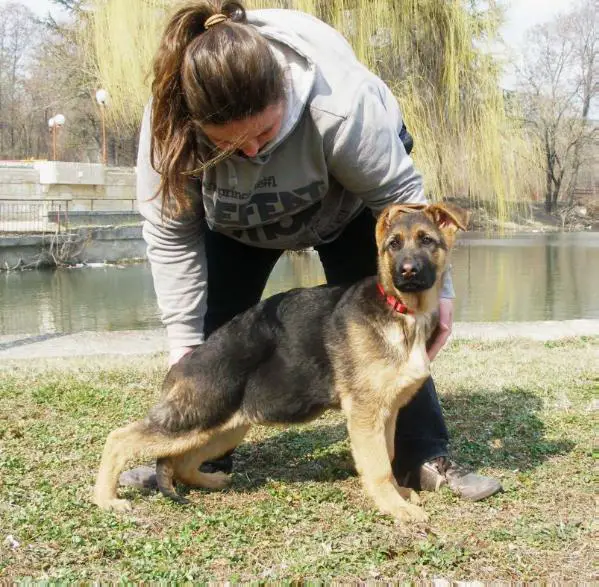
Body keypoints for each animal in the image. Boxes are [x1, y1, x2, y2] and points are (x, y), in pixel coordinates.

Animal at [92, 203, 468, 524]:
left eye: (427, 241)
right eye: (393, 245)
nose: (408, 271)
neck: (402, 312)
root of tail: (184, 364)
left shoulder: (385, 413)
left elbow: (387, 456)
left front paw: (399, 494)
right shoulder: (365, 413)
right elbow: (378, 467)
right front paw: (394, 507)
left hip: (224, 426)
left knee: (181, 462)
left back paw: (211, 481)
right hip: (196, 416)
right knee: (120, 439)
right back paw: (105, 499)